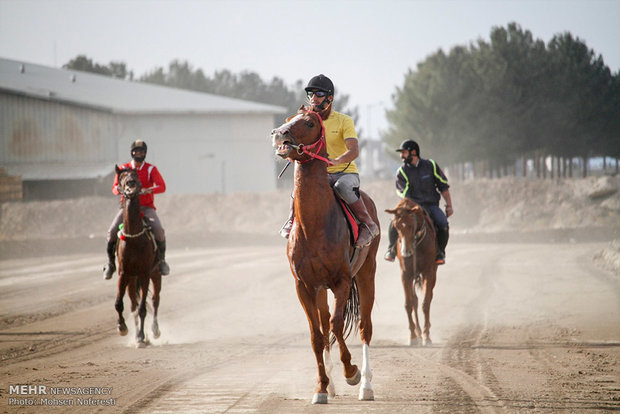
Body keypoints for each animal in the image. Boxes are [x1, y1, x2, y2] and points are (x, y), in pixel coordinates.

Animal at [114, 167, 162, 348]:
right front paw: (122, 328)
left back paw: (155, 331)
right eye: (121, 177)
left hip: (155, 274)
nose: (131, 185)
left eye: (136, 176)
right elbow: (119, 304)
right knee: (133, 304)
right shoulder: (124, 273)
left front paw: (141, 337)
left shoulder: (144, 273)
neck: (134, 238)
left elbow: (143, 309)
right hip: (132, 280)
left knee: (155, 300)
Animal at [272, 106, 380, 404]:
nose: (279, 133)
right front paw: (321, 387)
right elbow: (317, 335)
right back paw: (331, 384)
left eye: (309, 123)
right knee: (323, 323)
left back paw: (366, 386)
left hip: (366, 274)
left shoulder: (341, 281)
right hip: (320, 289)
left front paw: (351, 372)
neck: (315, 225)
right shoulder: (305, 286)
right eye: (288, 120)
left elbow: (336, 324)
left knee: (365, 326)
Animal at [386, 197, 438, 346]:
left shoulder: (428, 272)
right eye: (397, 226)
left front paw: (427, 336)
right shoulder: (406, 274)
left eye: (411, 225)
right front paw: (413, 336)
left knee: (428, 298)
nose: (406, 252)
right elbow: (409, 304)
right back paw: (418, 333)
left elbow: (426, 303)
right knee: (414, 301)